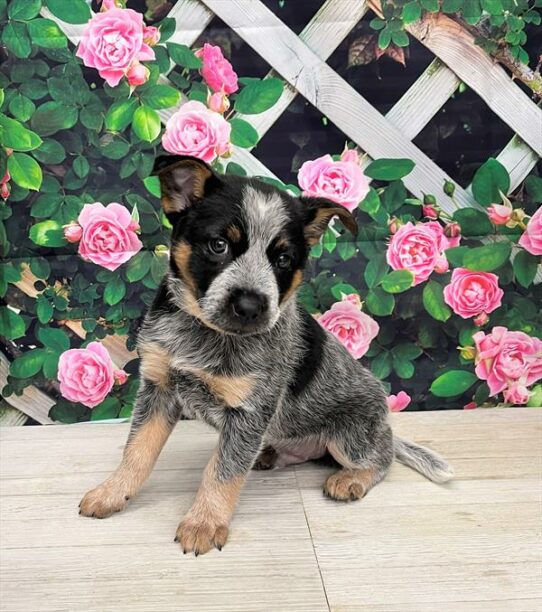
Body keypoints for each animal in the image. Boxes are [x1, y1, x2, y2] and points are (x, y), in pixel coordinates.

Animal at [79, 157, 454, 556]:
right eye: (218, 245)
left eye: (284, 259)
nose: (250, 306)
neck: (205, 335)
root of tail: (383, 421)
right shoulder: (158, 387)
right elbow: (136, 451)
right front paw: (111, 492)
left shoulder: (249, 411)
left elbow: (222, 472)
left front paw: (204, 522)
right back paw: (269, 454)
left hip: (351, 437)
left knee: (382, 458)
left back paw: (351, 479)